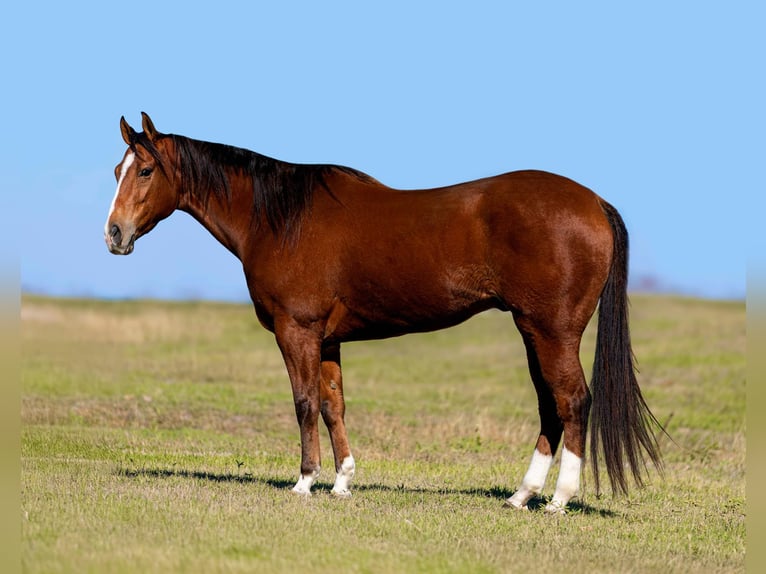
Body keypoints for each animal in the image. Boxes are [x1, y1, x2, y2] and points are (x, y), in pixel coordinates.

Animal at [104, 112, 663, 513]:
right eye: (117, 171)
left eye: (146, 170)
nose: (114, 234)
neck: (280, 219)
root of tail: (594, 202)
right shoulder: (327, 339)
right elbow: (333, 406)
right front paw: (341, 482)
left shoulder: (296, 330)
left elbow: (304, 402)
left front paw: (304, 482)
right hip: (531, 330)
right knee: (551, 405)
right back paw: (521, 494)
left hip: (552, 330)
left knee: (572, 400)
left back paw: (559, 500)